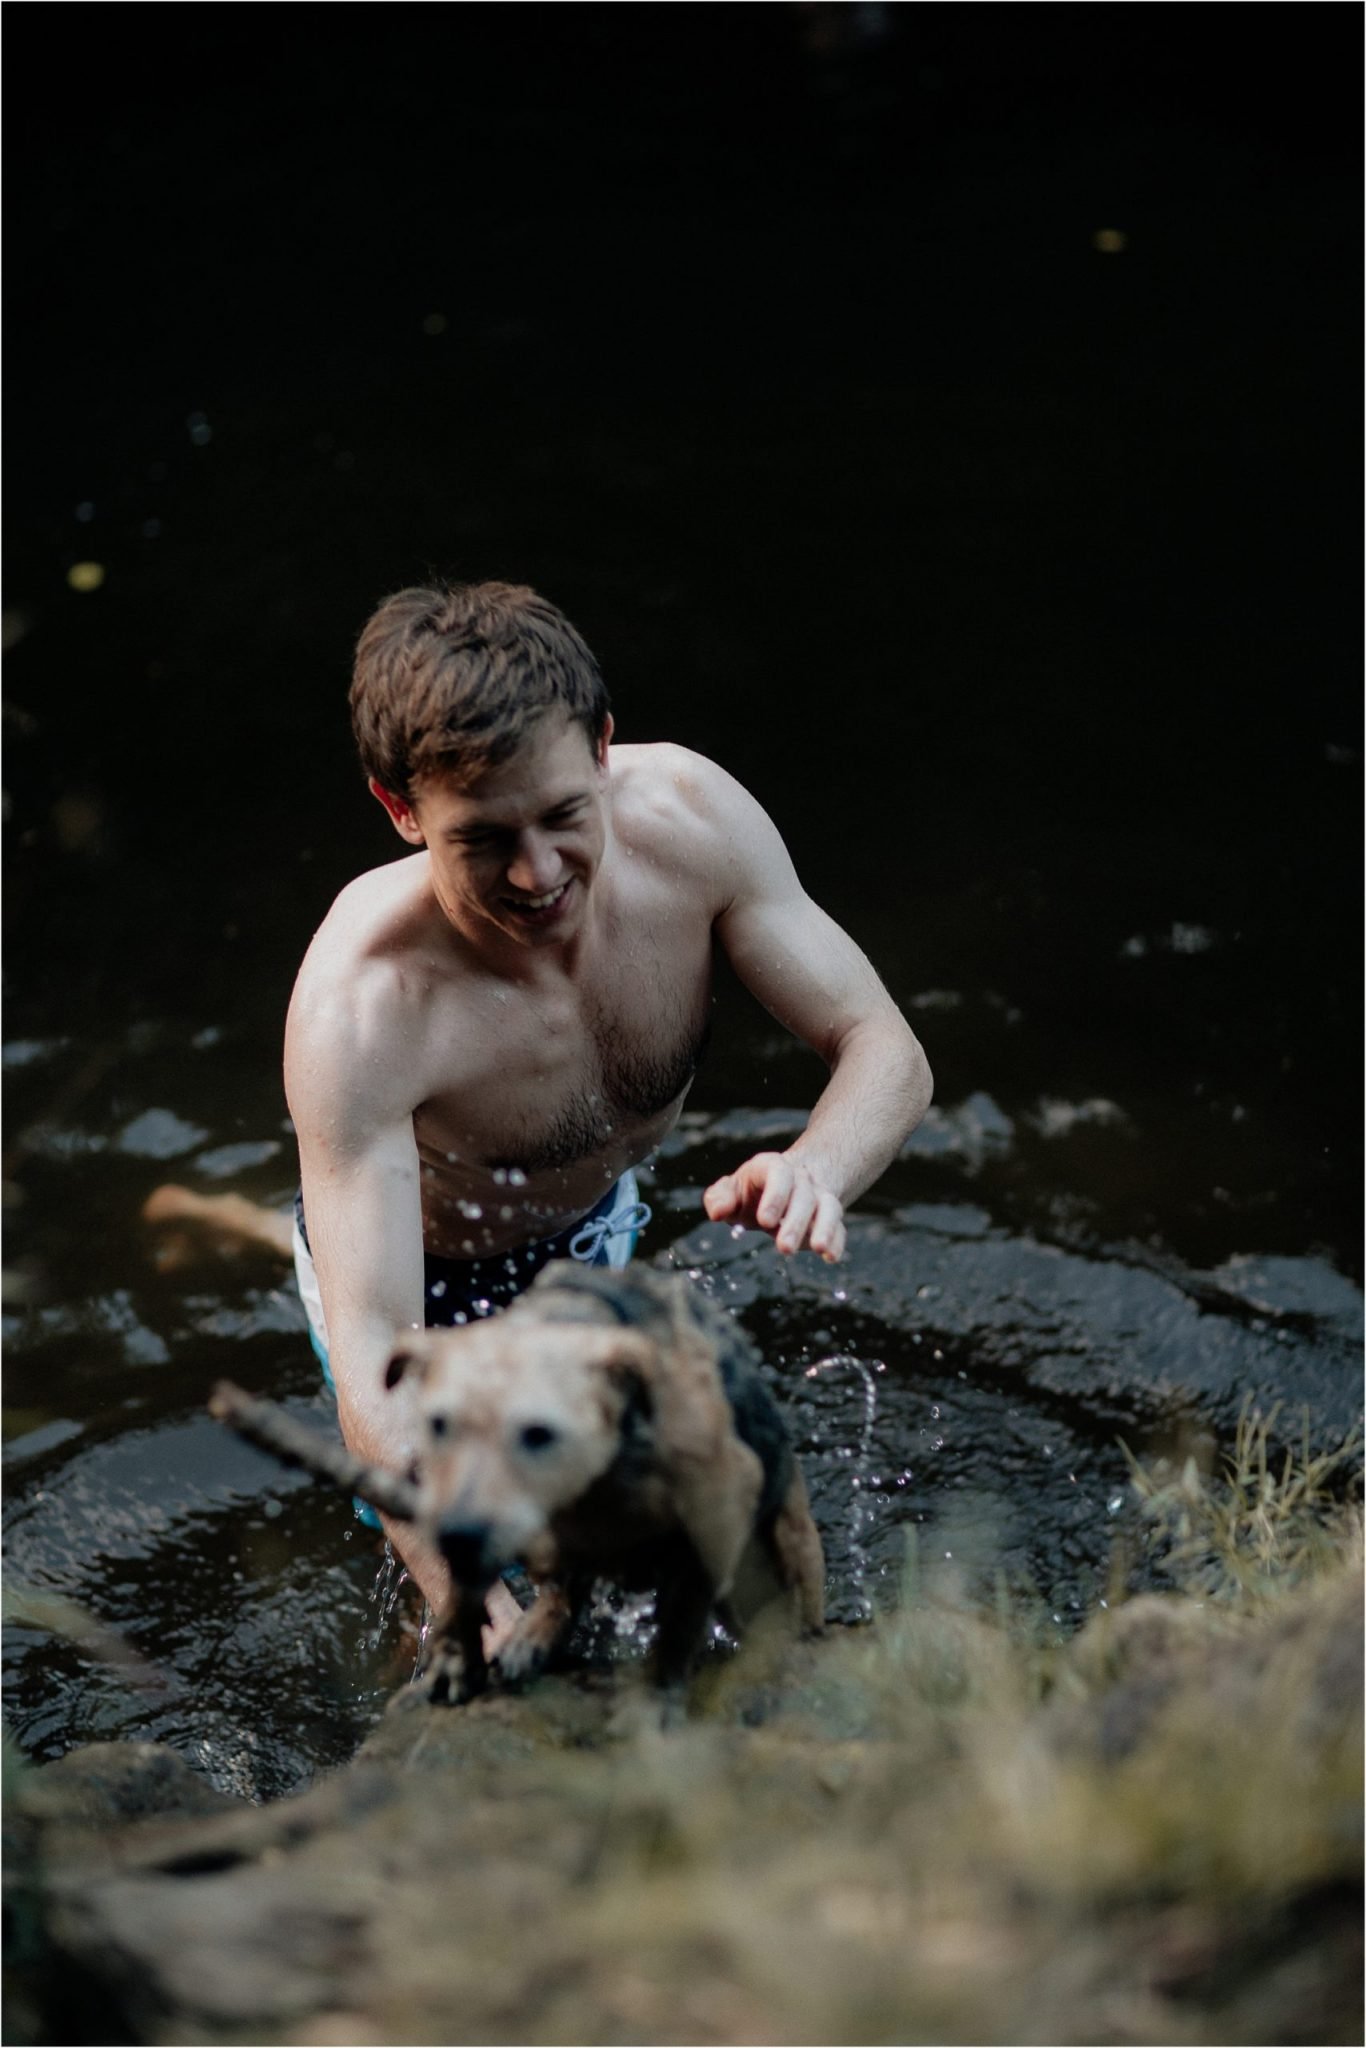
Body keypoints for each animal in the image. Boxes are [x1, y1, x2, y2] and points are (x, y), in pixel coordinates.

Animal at [389, 1261, 827, 1712]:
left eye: (539, 1433)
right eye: (438, 1424)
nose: (459, 1534)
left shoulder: (719, 1505)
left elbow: (679, 1628)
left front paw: (658, 1693)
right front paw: (456, 1653)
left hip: (786, 1553)